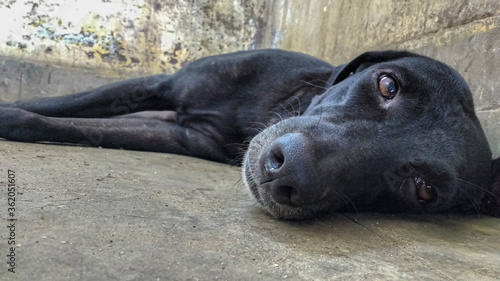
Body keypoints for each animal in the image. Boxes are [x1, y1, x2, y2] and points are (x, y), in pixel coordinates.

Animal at [0, 49, 500, 218]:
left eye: (423, 190)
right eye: (388, 85)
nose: (288, 170)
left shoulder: (179, 137)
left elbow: (81, 128)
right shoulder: (162, 85)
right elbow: (65, 106)